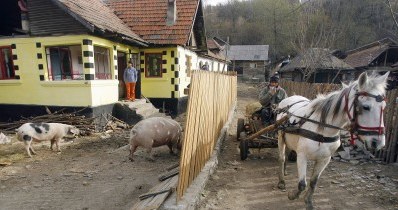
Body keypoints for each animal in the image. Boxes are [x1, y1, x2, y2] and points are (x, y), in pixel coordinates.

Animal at [276, 71, 388, 209]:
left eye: (384, 106)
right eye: (366, 107)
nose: (378, 143)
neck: (322, 129)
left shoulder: (325, 159)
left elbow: (313, 182)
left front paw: (308, 202)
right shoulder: (302, 156)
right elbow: (302, 184)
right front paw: (292, 195)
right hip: (280, 136)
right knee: (282, 158)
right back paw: (281, 180)